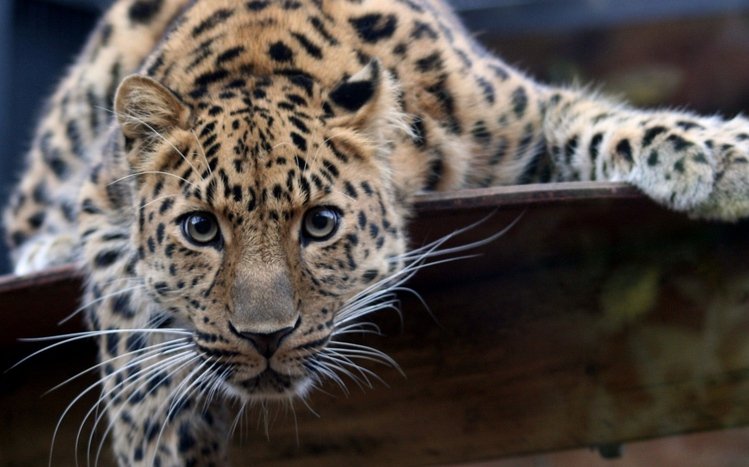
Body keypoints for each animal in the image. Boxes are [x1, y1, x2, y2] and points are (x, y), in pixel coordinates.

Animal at [3, 0, 749, 465]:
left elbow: (603, 123)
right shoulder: (102, 203)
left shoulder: (521, 115)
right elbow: (130, 326)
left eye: (320, 223)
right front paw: (157, 440)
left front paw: (719, 155)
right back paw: (43, 245)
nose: (265, 337)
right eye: (199, 228)